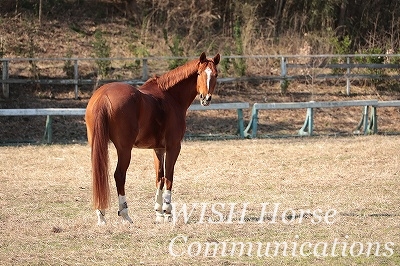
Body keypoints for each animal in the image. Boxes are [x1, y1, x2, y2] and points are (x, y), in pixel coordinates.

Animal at [85, 52, 220, 224]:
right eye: (199, 73)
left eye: (215, 74)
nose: (206, 98)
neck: (170, 96)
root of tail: (103, 96)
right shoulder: (173, 147)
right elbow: (169, 177)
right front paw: (167, 211)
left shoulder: (158, 149)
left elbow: (159, 177)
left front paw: (159, 212)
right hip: (124, 149)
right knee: (119, 175)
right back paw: (125, 214)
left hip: (97, 145)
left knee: (99, 175)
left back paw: (101, 215)